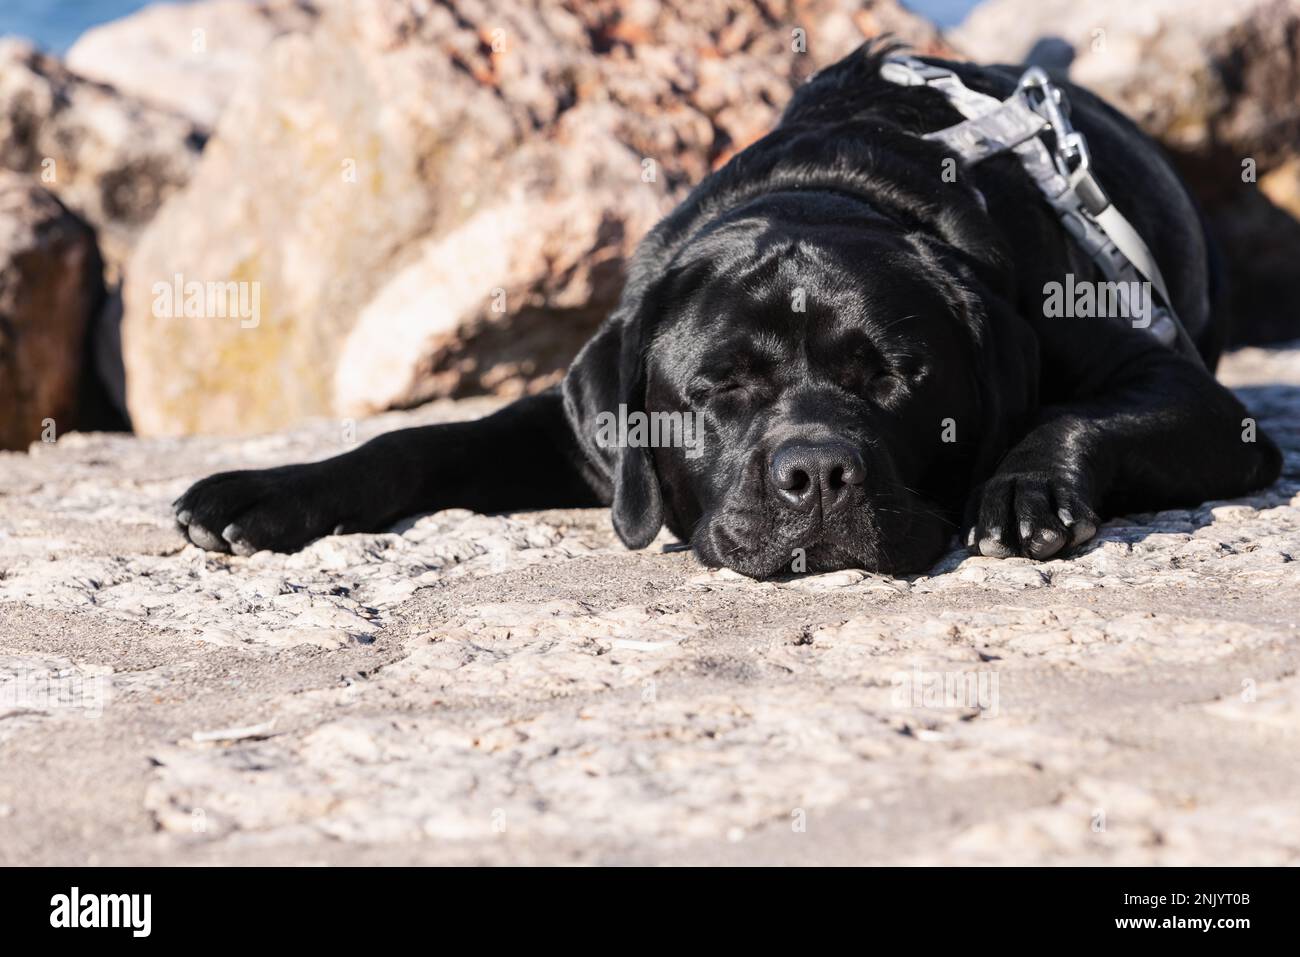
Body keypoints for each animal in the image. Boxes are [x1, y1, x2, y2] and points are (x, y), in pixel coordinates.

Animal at [172, 44, 1279, 574]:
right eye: (716, 390)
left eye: (894, 378)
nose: (817, 472)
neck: (829, 185)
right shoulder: (585, 421)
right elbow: (423, 441)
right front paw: (263, 493)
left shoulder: (1197, 397)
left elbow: (1079, 415)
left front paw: (1023, 487)